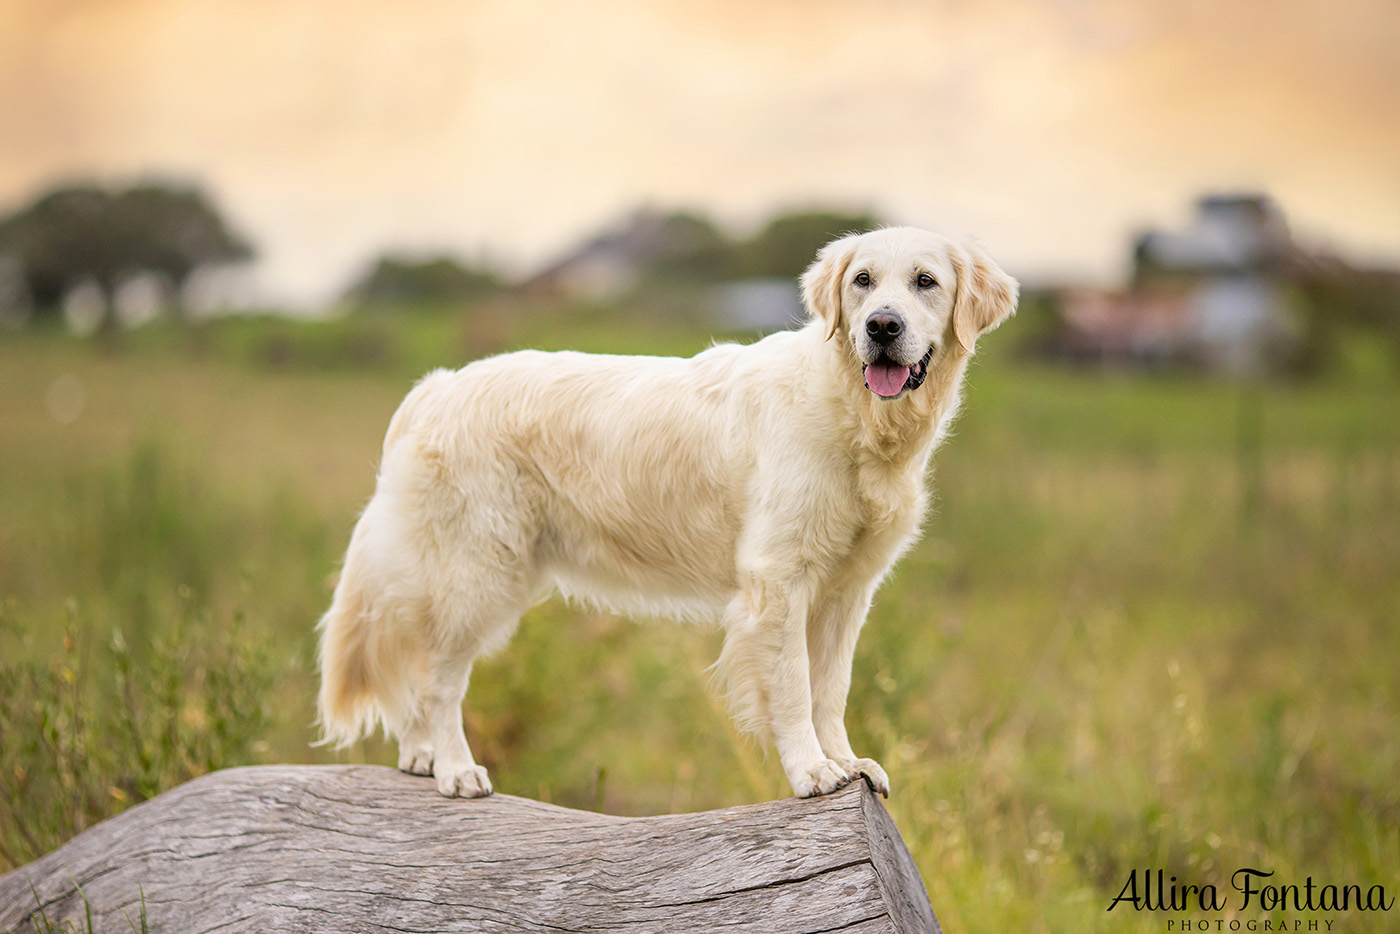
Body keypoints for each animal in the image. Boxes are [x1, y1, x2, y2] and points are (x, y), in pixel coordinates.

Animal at [317, 229, 1019, 800]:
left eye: (925, 281)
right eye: (863, 281)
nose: (881, 327)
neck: (854, 414)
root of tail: (438, 385)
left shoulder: (847, 591)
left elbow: (831, 689)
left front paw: (847, 763)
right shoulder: (778, 580)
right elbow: (794, 687)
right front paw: (812, 771)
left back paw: (420, 757)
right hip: (478, 574)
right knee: (438, 678)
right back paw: (454, 769)